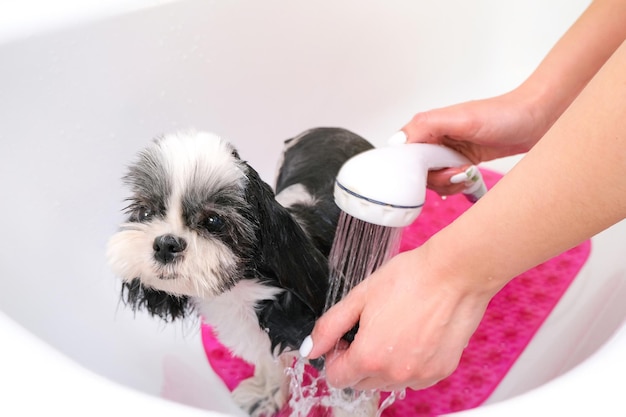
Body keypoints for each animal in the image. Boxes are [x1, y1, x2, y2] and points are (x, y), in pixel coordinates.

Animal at [107, 127, 370, 416]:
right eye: (145, 212)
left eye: (213, 220)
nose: (166, 244)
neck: (242, 291)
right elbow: (269, 361)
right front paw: (268, 393)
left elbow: (351, 393)